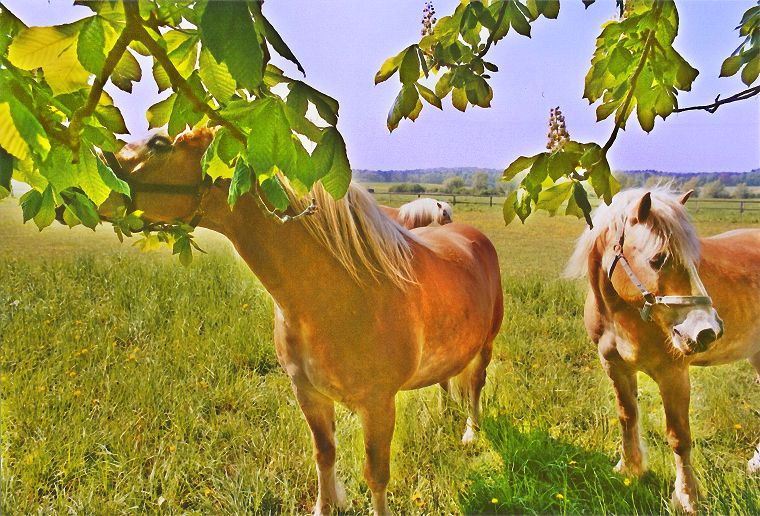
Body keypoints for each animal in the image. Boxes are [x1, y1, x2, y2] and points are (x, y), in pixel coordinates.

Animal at [99, 128, 504, 512]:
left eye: (159, 143)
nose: (98, 168)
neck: (339, 293)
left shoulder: (378, 405)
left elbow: (376, 475)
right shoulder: (309, 395)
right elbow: (324, 456)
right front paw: (326, 505)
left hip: (485, 348)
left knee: (476, 386)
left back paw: (470, 432)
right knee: (446, 380)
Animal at [564, 186, 760, 512]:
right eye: (658, 260)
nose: (708, 331)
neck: (625, 316)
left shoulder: (673, 374)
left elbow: (679, 436)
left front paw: (687, 497)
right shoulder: (615, 367)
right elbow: (627, 416)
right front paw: (630, 468)